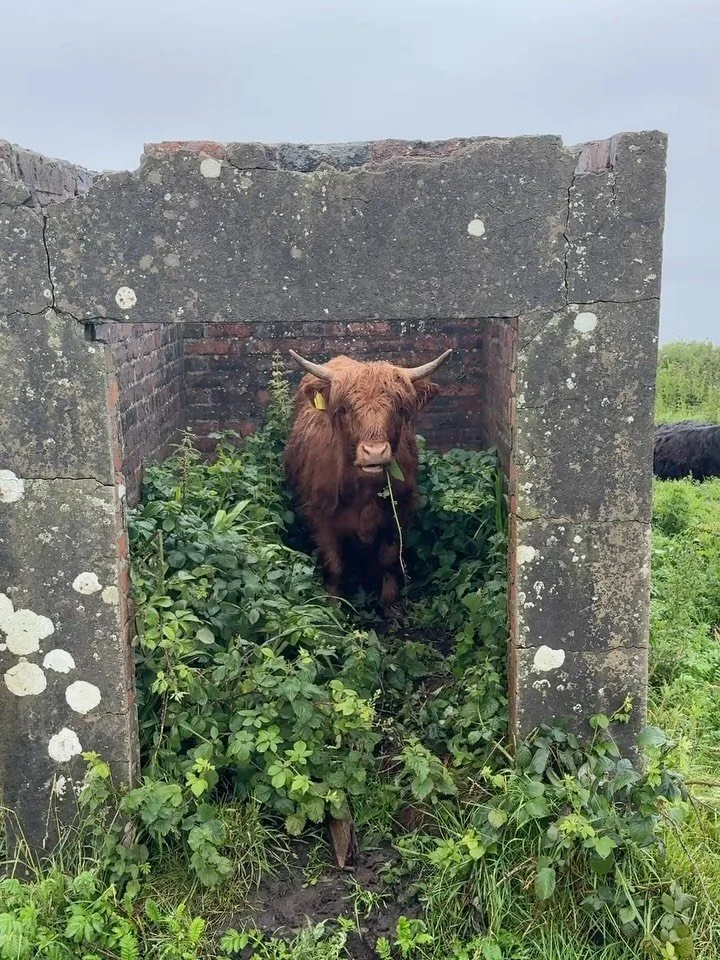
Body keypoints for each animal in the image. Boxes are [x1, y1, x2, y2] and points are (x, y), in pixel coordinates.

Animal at [283, 348, 452, 614]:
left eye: (398, 408)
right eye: (345, 409)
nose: (374, 452)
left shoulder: (399, 513)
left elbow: (390, 560)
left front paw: (390, 607)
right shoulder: (320, 515)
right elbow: (333, 565)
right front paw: (334, 609)